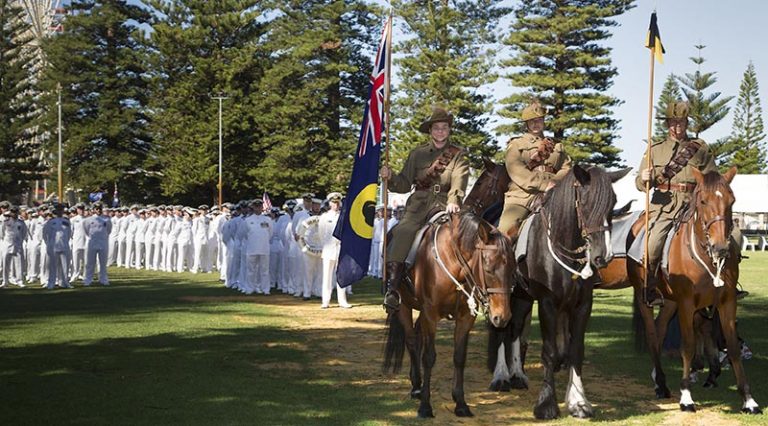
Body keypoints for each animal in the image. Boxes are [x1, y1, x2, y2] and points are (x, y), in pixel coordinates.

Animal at [380, 156, 512, 416]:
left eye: (511, 268)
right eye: (488, 268)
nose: (501, 317)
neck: (455, 260)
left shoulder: (465, 317)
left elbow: (459, 356)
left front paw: (460, 402)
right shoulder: (431, 313)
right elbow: (429, 356)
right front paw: (425, 406)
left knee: (418, 337)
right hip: (404, 306)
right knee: (412, 341)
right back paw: (416, 387)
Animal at [486, 164, 632, 420]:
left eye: (613, 202)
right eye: (584, 202)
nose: (602, 256)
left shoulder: (583, 305)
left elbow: (575, 350)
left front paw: (579, 402)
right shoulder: (548, 304)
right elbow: (549, 351)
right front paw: (546, 404)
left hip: (523, 297)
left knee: (515, 328)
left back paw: (517, 374)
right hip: (505, 295)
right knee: (502, 329)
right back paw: (501, 376)